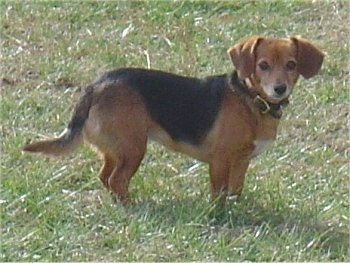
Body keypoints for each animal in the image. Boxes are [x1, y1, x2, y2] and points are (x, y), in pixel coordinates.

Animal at [23, 35, 326, 204]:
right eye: (263, 65)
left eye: (291, 65)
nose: (279, 89)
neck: (250, 99)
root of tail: (96, 86)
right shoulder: (220, 161)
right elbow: (218, 194)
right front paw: (219, 216)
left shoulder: (242, 163)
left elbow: (235, 191)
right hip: (134, 149)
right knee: (116, 180)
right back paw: (134, 205)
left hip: (116, 148)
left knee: (105, 176)